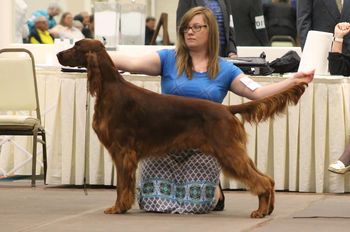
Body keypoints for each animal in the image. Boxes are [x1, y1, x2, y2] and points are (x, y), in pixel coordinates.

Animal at [56, 39, 308, 218]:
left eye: (77, 45)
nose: (58, 54)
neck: (109, 89)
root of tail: (227, 109)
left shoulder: (123, 152)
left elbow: (121, 186)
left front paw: (118, 208)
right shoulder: (124, 153)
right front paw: (122, 207)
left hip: (228, 151)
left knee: (262, 181)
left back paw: (260, 211)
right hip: (233, 151)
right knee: (267, 179)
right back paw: (267, 209)